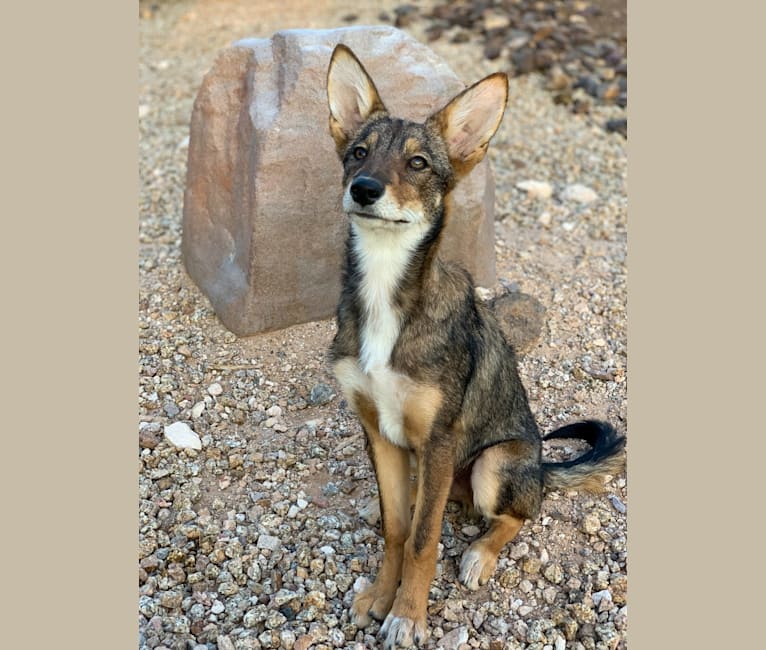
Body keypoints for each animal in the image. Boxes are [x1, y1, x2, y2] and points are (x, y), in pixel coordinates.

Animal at [328, 43, 628, 644]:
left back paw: (479, 555)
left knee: (517, 514)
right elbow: (397, 529)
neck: (387, 291)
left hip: (494, 464)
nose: (363, 189)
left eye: (419, 163)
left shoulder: (440, 439)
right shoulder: (379, 431)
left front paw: (407, 615)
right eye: (358, 153)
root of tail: (541, 466)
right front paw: (380, 595)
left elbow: (422, 540)